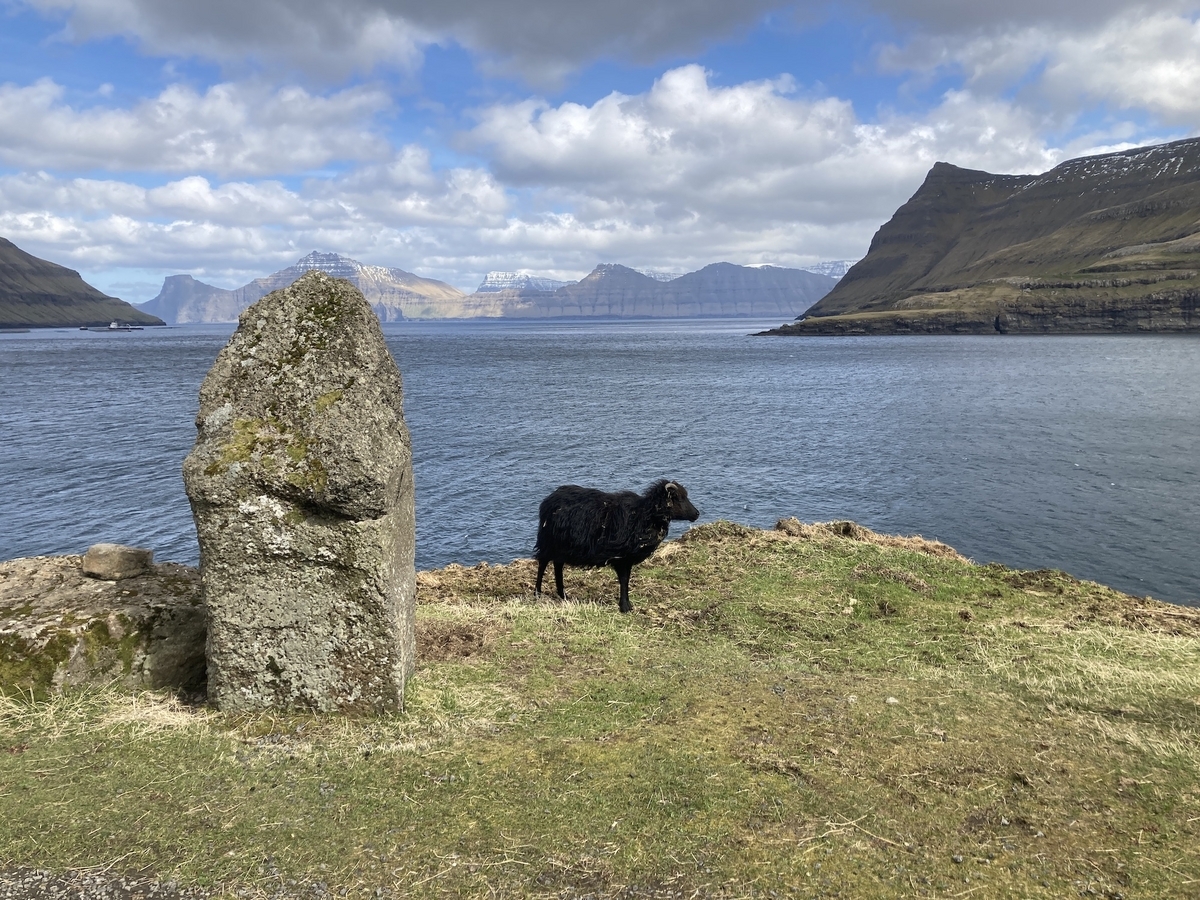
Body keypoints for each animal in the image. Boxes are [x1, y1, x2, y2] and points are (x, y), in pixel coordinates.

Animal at [534, 480, 700, 613]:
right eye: (678, 498)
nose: (697, 514)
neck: (644, 515)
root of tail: (548, 500)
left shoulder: (627, 559)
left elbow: (626, 580)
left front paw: (627, 605)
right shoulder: (620, 557)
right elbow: (624, 580)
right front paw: (625, 607)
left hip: (561, 547)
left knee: (557, 566)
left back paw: (563, 595)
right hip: (548, 542)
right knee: (542, 564)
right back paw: (538, 593)